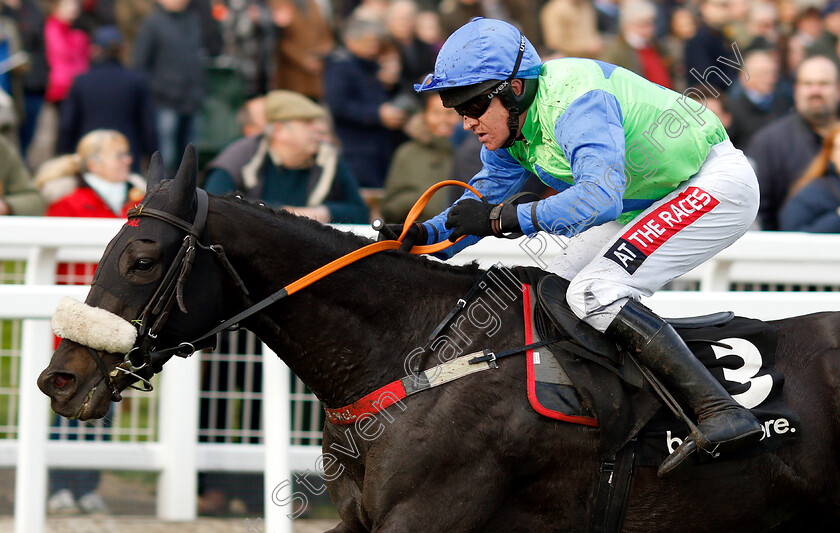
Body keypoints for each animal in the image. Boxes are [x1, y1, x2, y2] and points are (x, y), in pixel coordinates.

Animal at [36, 151, 840, 532]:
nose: (58, 378)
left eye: (141, 259)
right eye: (101, 251)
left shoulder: (429, 515)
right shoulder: (363, 518)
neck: (418, 352)